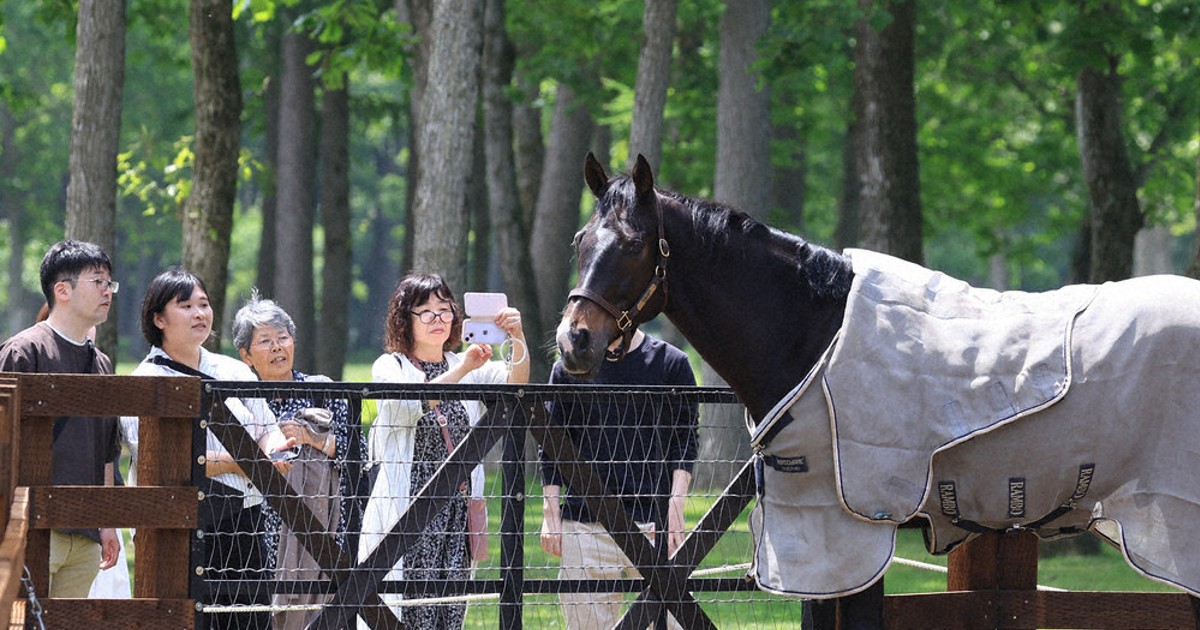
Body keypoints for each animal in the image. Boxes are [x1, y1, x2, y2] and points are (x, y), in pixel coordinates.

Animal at [556, 152, 1200, 625]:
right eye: (580, 241)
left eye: (634, 244)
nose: (573, 341)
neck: (812, 331)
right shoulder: (818, 541)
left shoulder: (848, 533)